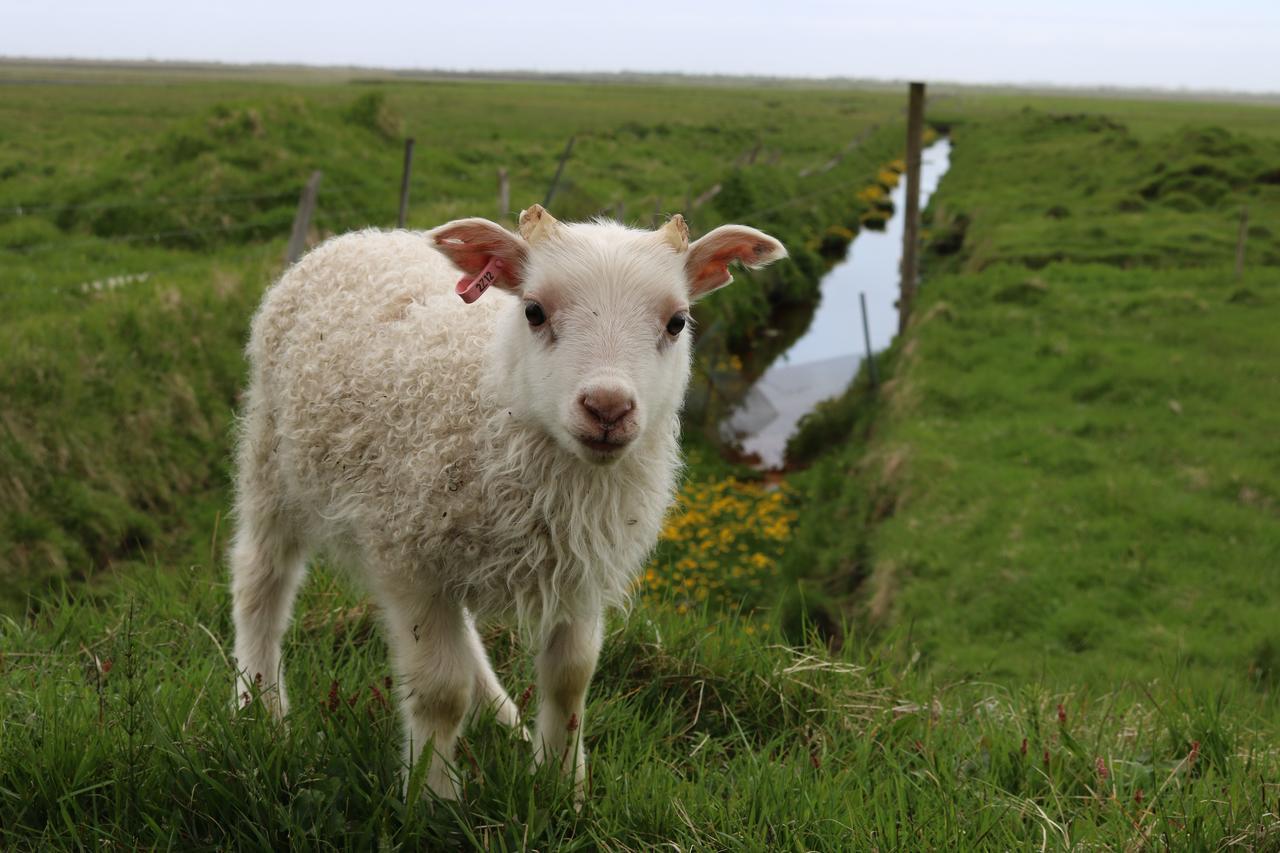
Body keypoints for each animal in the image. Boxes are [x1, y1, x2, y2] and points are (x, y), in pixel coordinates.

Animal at [232, 204, 788, 799]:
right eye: (534, 311)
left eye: (677, 322)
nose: (607, 408)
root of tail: (361, 238)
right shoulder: (410, 559)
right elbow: (439, 691)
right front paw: (432, 798)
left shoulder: (580, 568)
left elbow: (571, 680)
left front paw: (564, 786)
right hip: (271, 458)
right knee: (260, 578)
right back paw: (260, 708)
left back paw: (503, 717)